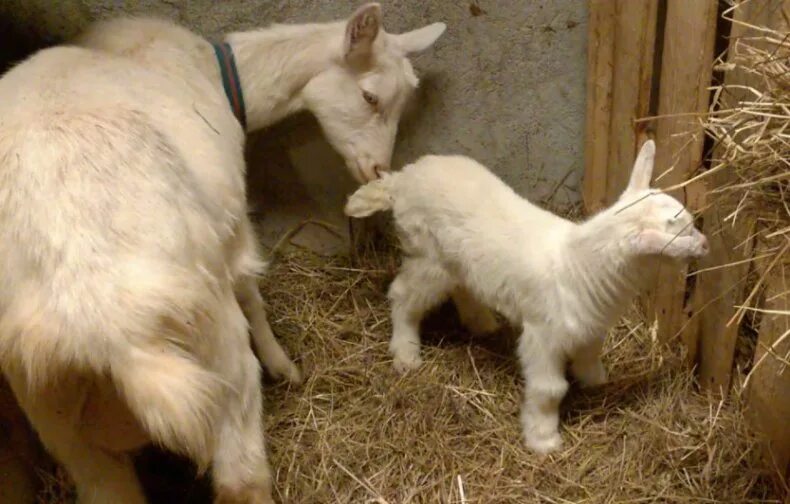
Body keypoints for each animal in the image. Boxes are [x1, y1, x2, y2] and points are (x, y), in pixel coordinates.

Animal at [0, 4, 446, 504]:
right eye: (370, 97)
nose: (378, 169)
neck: (219, 74)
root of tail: (113, 334)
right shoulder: (232, 216)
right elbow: (250, 290)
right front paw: (283, 364)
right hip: (218, 351)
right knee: (240, 477)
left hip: (49, 407)